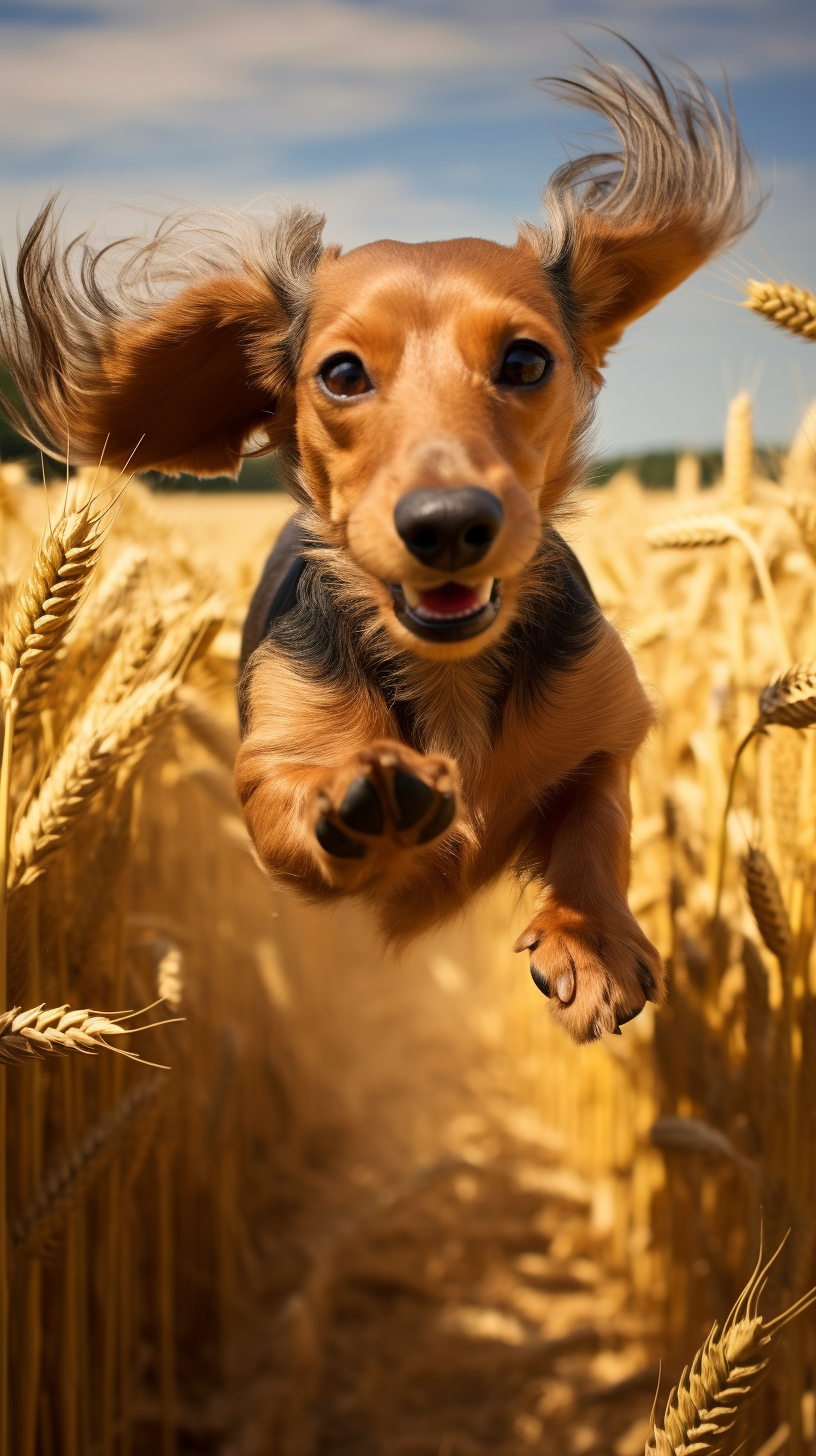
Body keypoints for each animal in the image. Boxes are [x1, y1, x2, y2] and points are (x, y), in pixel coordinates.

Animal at [0, 48, 757, 1048]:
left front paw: (590, 939)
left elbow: (595, 828)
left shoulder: (609, 728)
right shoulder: (266, 769)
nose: (447, 523)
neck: (449, 672)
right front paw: (365, 800)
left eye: (525, 361)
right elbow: (291, 799)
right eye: (343, 374)